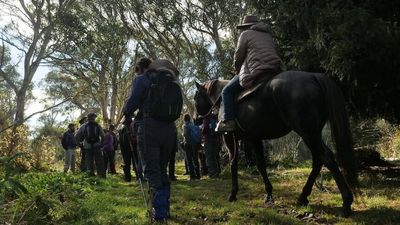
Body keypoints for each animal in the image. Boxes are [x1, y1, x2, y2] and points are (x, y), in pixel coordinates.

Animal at [195, 70, 360, 216]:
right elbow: (261, 165)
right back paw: (303, 197)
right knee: (318, 160)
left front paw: (233, 194)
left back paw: (346, 203)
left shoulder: (229, 138)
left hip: (308, 133)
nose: (196, 119)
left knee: (327, 158)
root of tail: (314, 76)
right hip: (312, 134)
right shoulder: (254, 138)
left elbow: (233, 163)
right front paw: (268, 194)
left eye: (196, 98)